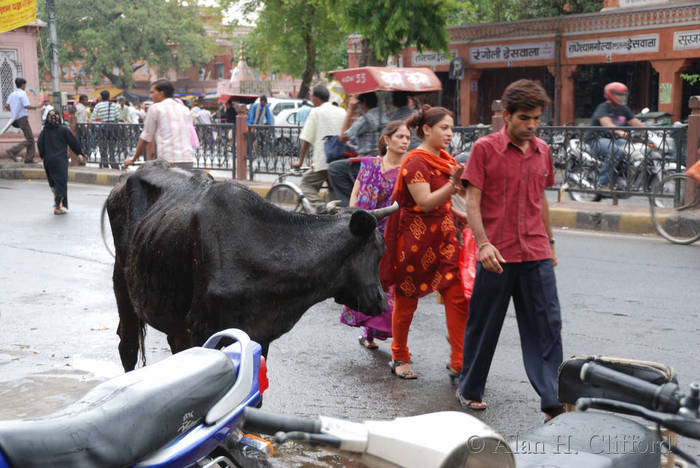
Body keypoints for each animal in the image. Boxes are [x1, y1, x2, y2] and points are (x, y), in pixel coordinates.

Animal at [107, 161, 396, 372]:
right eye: (379, 249)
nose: (381, 301)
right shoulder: (201, 329)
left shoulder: (259, 335)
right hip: (123, 285)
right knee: (127, 345)